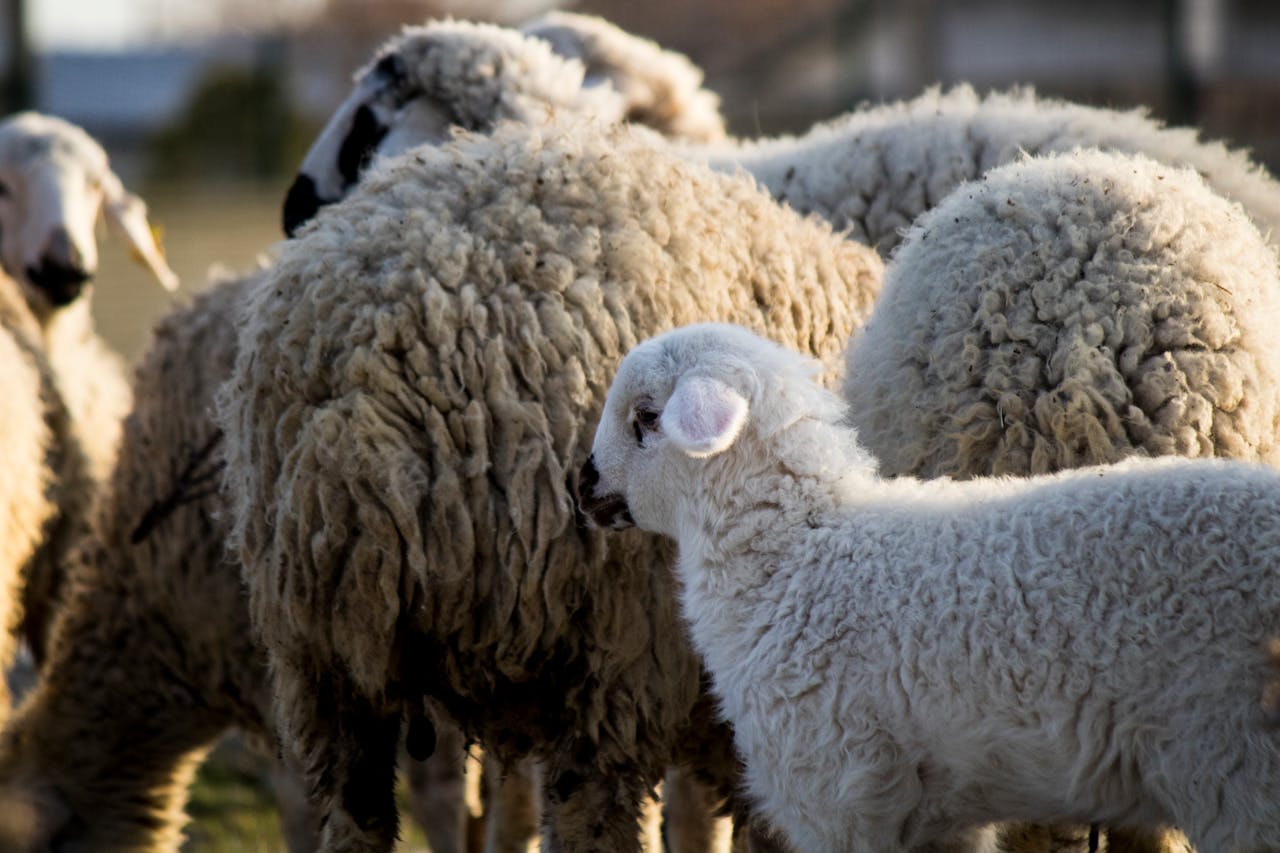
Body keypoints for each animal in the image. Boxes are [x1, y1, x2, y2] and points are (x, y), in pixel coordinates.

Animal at [579, 321, 1280, 853]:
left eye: (646, 418)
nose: (579, 486)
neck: (797, 554)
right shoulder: (935, 817)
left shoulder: (838, 794)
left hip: (1232, 764)